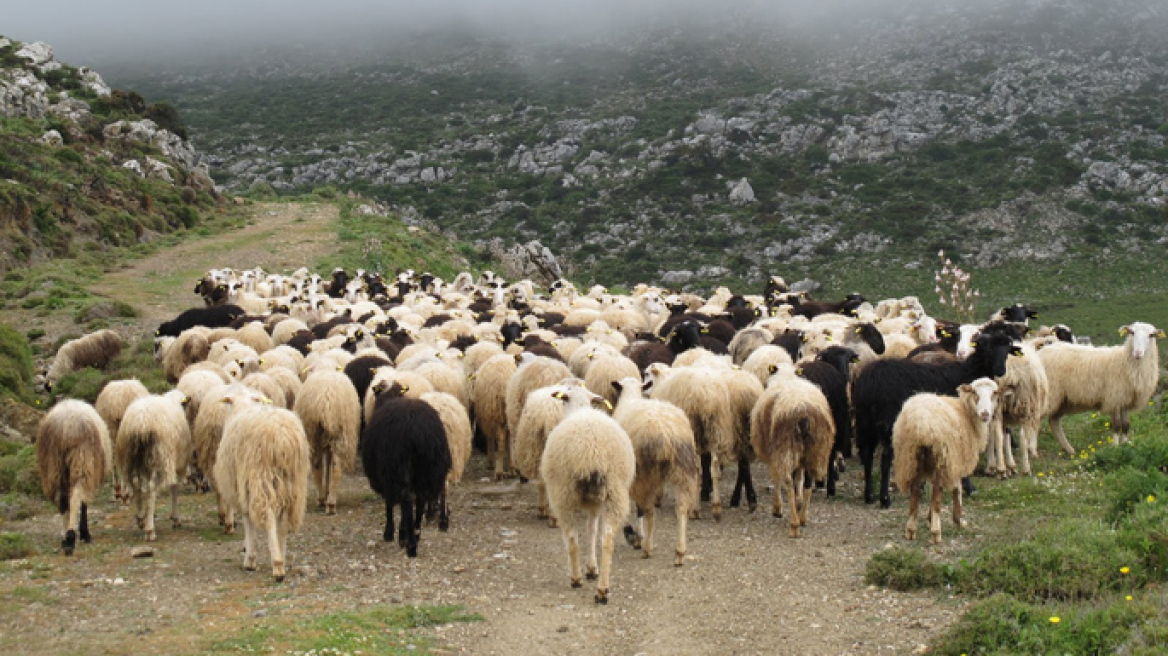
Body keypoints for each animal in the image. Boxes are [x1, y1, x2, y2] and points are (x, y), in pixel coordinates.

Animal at [362, 382, 453, 555]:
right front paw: (402, 531)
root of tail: (414, 422)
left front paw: (391, 533)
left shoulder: (385, 474)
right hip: (428, 466)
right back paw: (416, 533)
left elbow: (389, 503)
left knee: (407, 498)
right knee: (420, 497)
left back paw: (410, 545)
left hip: (397, 464)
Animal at [850, 331, 1023, 506]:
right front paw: (969, 487)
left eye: (1007, 349)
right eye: (987, 348)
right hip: (888, 421)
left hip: (865, 420)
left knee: (867, 454)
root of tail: (871, 379)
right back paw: (885, 499)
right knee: (885, 457)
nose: (1001, 370)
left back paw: (869, 496)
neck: (968, 373)